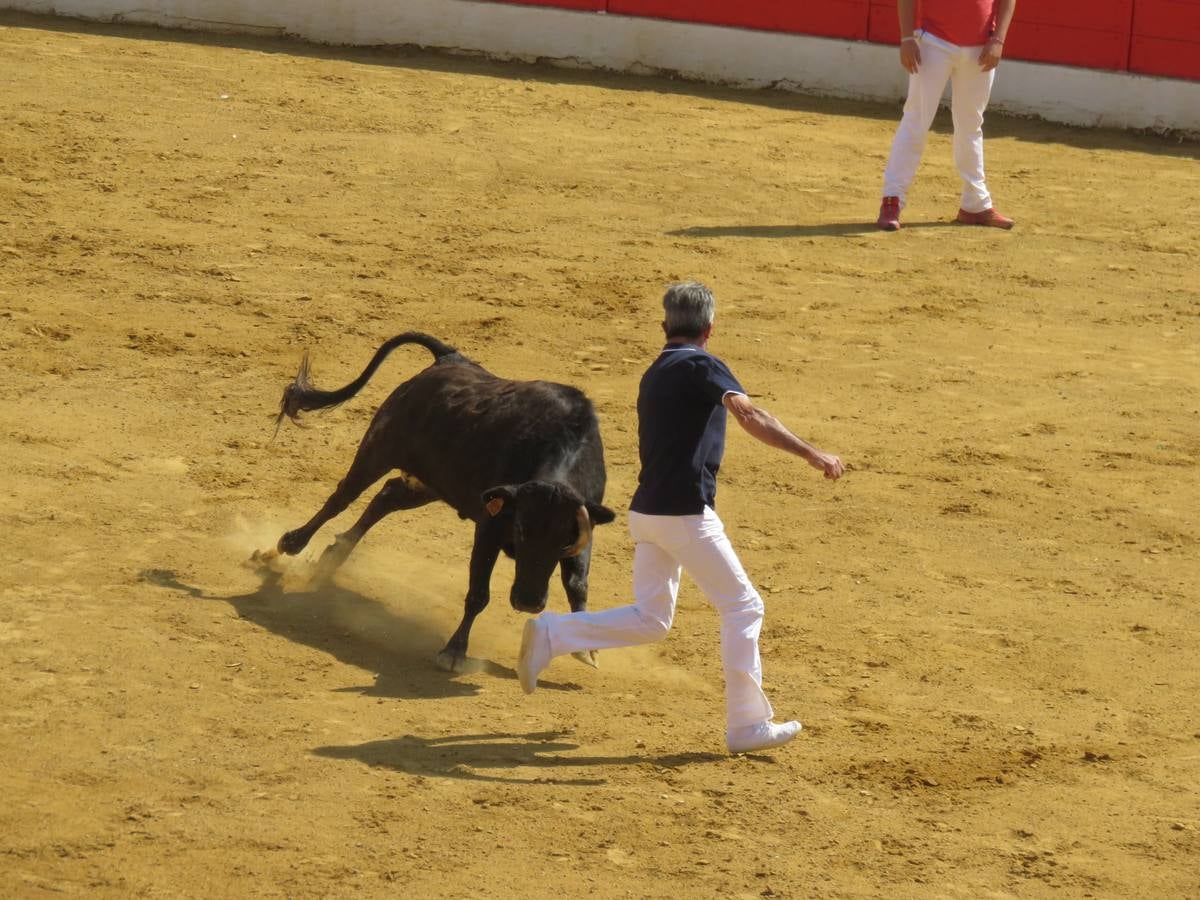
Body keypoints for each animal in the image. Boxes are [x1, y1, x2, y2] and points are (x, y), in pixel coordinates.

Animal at [264, 336, 619, 672]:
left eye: (563, 542)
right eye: (519, 529)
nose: (528, 603)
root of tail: (450, 358)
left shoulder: (584, 525)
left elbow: (577, 584)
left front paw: (588, 650)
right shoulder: (490, 526)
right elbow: (478, 593)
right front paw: (453, 652)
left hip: (433, 483)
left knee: (387, 496)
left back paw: (332, 556)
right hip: (378, 449)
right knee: (341, 497)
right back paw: (289, 544)